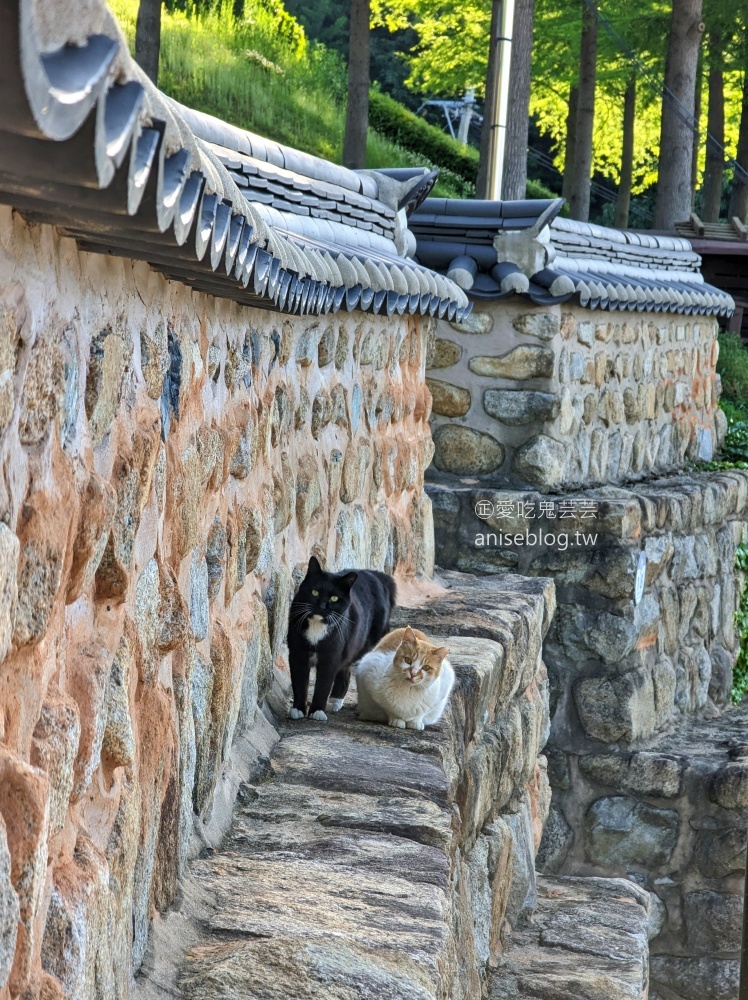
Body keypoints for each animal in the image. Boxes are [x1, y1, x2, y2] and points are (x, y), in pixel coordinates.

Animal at [286, 560, 398, 724]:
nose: (321, 606)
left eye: (334, 598)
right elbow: (299, 681)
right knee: (345, 668)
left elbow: (323, 684)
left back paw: (335, 700)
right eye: (315, 592)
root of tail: (378, 575)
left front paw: (317, 711)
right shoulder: (297, 652)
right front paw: (298, 709)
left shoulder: (331, 655)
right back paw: (335, 701)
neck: (317, 625)